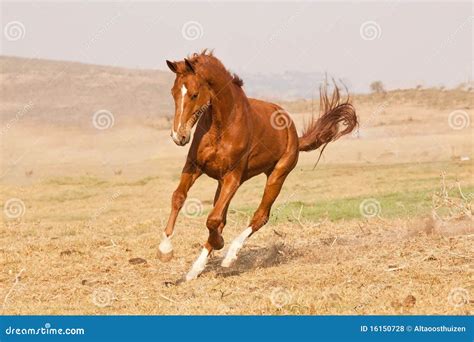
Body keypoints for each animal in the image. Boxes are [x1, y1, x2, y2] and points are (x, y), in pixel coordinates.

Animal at [158, 50, 356, 280]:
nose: (178, 136)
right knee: (223, 216)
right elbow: (179, 198)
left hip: (277, 175)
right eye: (173, 93)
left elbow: (213, 219)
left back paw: (229, 255)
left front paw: (220, 244)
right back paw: (194, 270)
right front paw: (165, 250)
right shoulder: (194, 167)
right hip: (222, 182)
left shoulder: (233, 177)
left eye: (194, 94)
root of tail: (295, 135)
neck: (222, 124)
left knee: (260, 216)